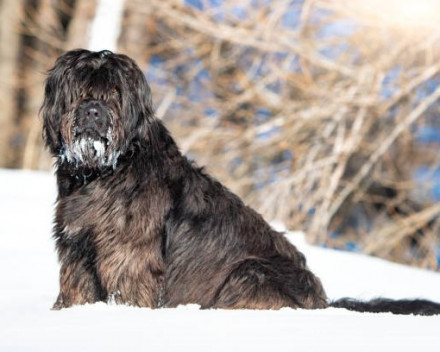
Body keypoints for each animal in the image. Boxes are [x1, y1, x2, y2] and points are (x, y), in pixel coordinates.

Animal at [41, 48, 440, 314]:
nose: (94, 112)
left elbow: (129, 286)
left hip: (251, 270)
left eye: (115, 93)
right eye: (79, 91)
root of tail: (323, 304)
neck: (103, 172)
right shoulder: (76, 249)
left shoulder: (129, 252)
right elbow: (76, 287)